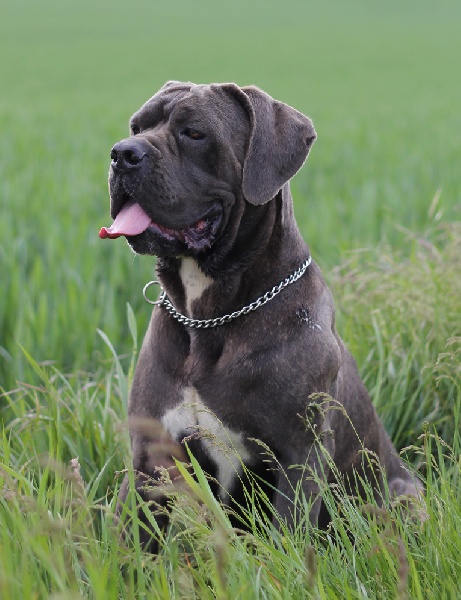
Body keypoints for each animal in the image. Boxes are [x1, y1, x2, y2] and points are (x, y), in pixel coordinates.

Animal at [99, 81, 422, 548]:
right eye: (137, 127)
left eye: (194, 133)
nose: (122, 153)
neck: (210, 316)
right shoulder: (151, 453)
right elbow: (133, 544)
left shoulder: (299, 454)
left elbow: (289, 532)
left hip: (401, 500)